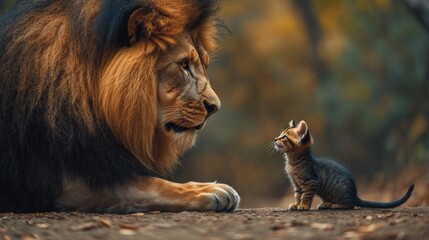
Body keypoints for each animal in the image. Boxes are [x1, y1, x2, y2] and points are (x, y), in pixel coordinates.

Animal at [0, 0, 239, 214]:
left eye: (203, 65)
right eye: (184, 65)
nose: (214, 107)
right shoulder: (62, 177)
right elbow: (148, 185)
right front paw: (207, 191)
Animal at [272, 120, 412, 210]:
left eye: (284, 137)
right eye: (280, 135)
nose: (275, 139)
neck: (292, 162)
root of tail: (354, 194)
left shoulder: (310, 182)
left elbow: (306, 196)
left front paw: (304, 205)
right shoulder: (296, 184)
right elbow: (297, 195)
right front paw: (296, 204)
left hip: (340, 192)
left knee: (351, 205)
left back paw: (337, 205)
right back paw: (326, 204)